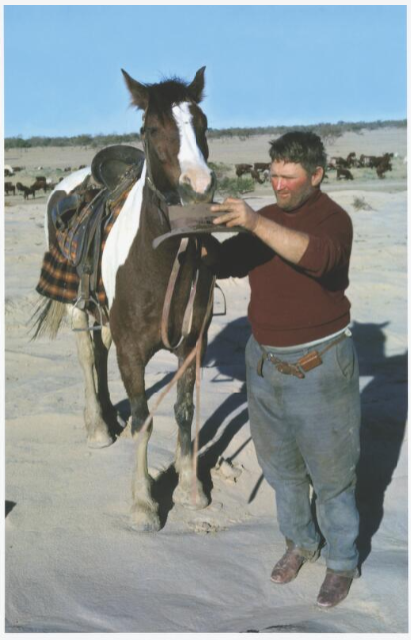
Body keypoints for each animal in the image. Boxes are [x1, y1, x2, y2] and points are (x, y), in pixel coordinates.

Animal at [33, 67, 216, 532]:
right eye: (152, 128)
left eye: (202, 123)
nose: (198, 189)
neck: (163, 256)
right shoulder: (132, 350)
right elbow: (144, 421)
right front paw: (143, 503)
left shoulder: (192, 343)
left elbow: (184, 412)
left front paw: (191, 486)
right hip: (79, 304)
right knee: (86, 354)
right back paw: (98, 428)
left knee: (99, 353)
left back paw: (108, 418)